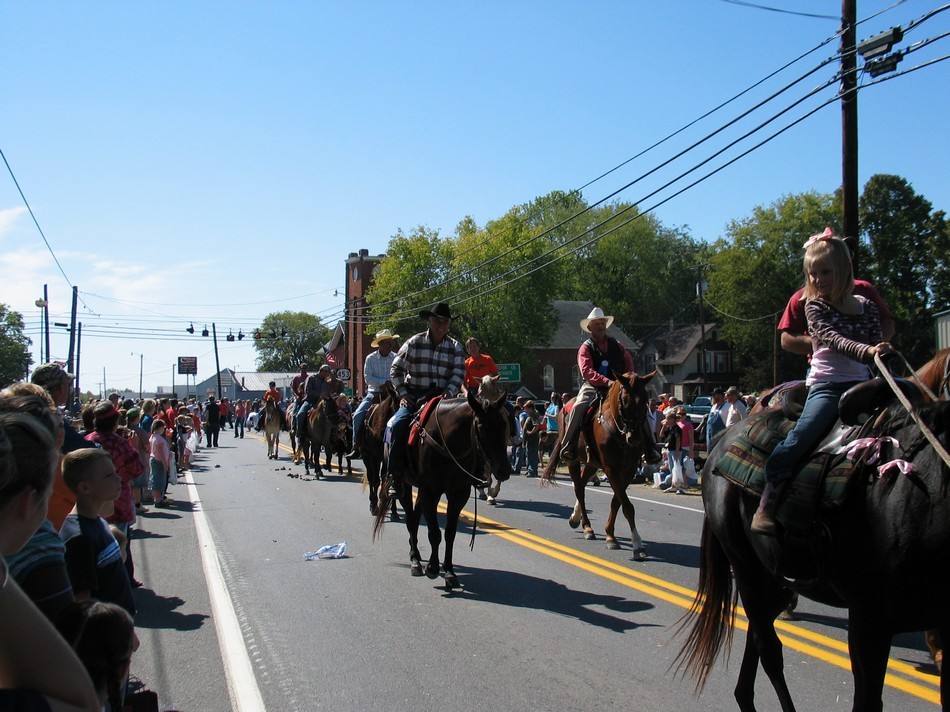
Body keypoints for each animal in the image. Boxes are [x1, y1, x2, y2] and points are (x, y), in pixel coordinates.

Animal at [376, 390, 516, 588]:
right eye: (481, 427)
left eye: (504, 424)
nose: (503, 470)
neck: (447, 444)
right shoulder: (431, 492)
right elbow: (434, 533)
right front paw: (433, 568)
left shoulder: (458, 494)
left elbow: (450, 533)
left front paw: (449, 571)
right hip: (405, 484)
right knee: (410, 520)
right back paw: (415, 560)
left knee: (416, 518)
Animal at [540, 370, 660, 560]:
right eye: (624, 399)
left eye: (645, 399)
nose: (634, 438)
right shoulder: (611, 468)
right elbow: (627, 505)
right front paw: (637, 543)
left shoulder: (629, 470)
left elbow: (617, 501)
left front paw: (610, 535)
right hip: (573, 460)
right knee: (579, 490)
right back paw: (587, 527)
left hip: (591, 463)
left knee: (582, 484)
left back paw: (576, 517)